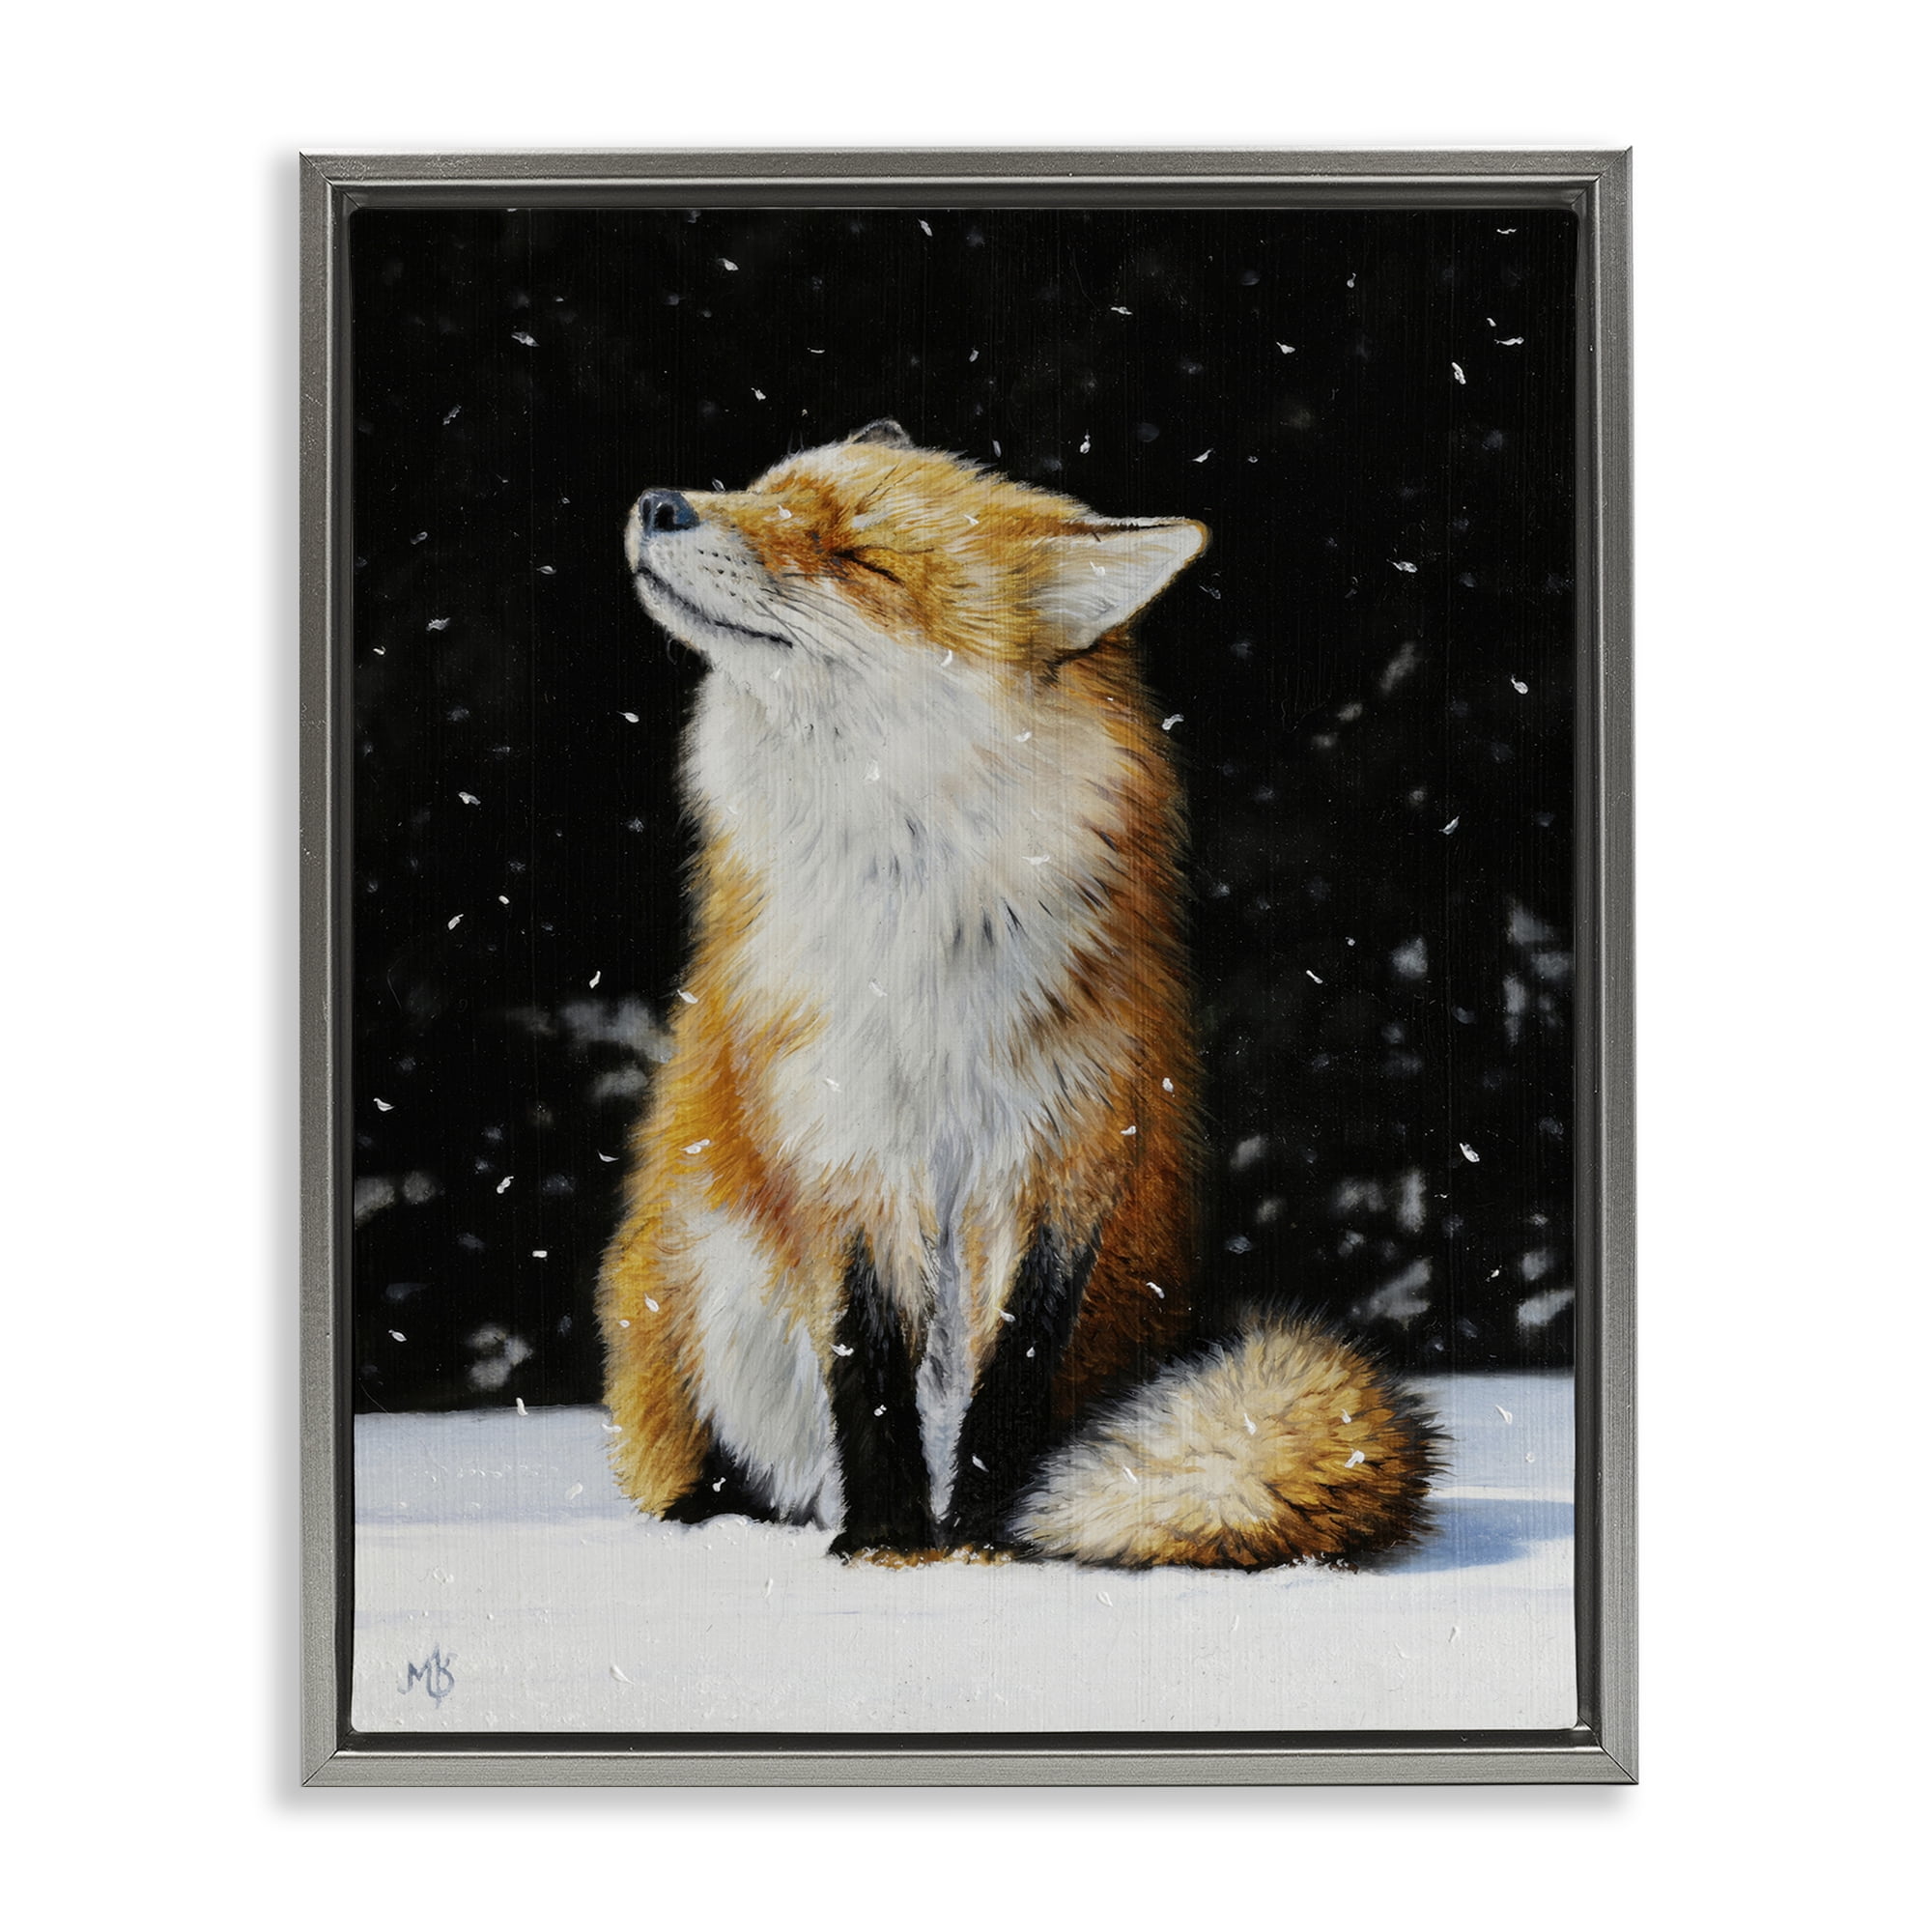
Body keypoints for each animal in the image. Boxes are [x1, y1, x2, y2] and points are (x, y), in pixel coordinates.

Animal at [597, 418, 1437, 1566]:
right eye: (766, 490)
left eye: (861, 558)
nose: (660, 503)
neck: (920, 946)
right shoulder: (843, 1155)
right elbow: (866, 1372)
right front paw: (888, 1544)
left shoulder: (1069, 1150)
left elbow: (1015, 1374)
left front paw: (986, 1537)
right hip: (700, 1284)